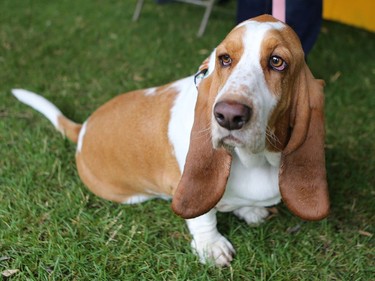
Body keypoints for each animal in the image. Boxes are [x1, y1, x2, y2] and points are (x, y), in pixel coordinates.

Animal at [12, 14, 328, 264]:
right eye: (225, 59)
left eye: (277, 62)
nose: (228, 116)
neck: (256, 160)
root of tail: (82, 129)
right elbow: (203, 216)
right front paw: (212, 248)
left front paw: (248, 210)